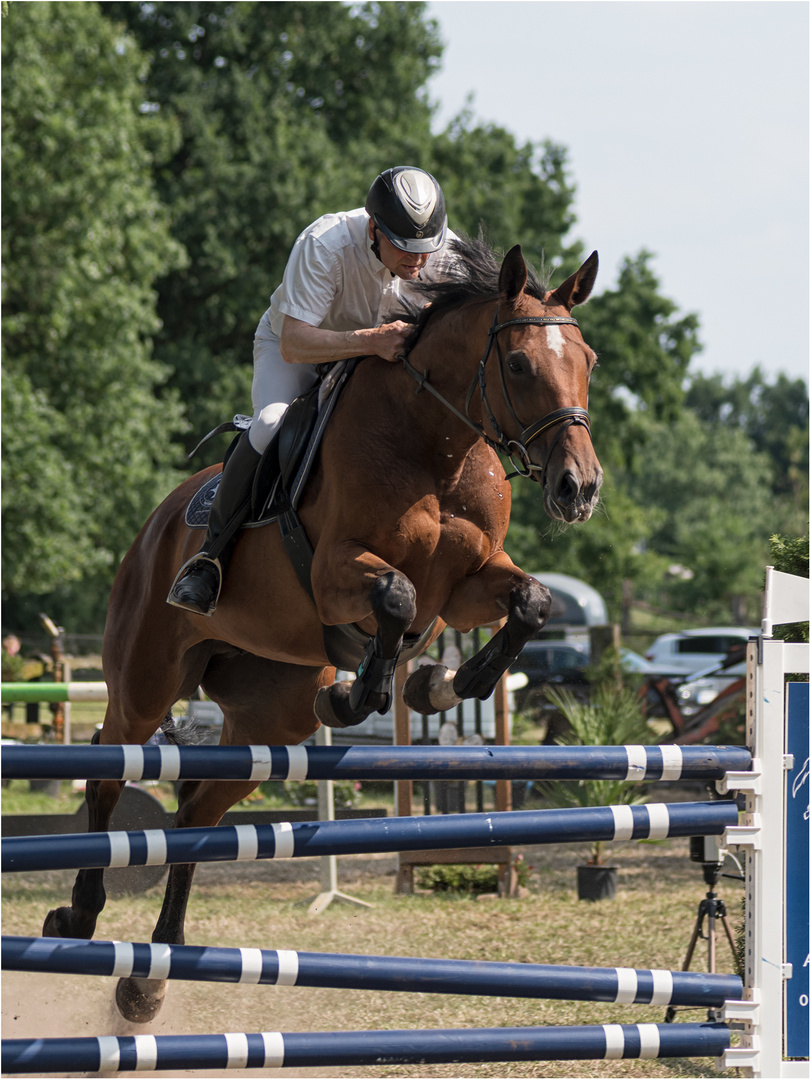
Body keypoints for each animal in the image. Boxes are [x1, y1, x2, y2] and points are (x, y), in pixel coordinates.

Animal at [44, 236, 604, 1019]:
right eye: (519, 364)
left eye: (588, 361)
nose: (578, 488)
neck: (434, 445)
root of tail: (157, 523)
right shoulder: (338, 574)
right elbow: (396, 597)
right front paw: (364, 691)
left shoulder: (469, 588)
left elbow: (532, 602)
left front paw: (443, 682)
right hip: (146, 679)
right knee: (106, 768)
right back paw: (81, 915)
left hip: (269, 717)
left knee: (195, 812)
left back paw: (150, 975)